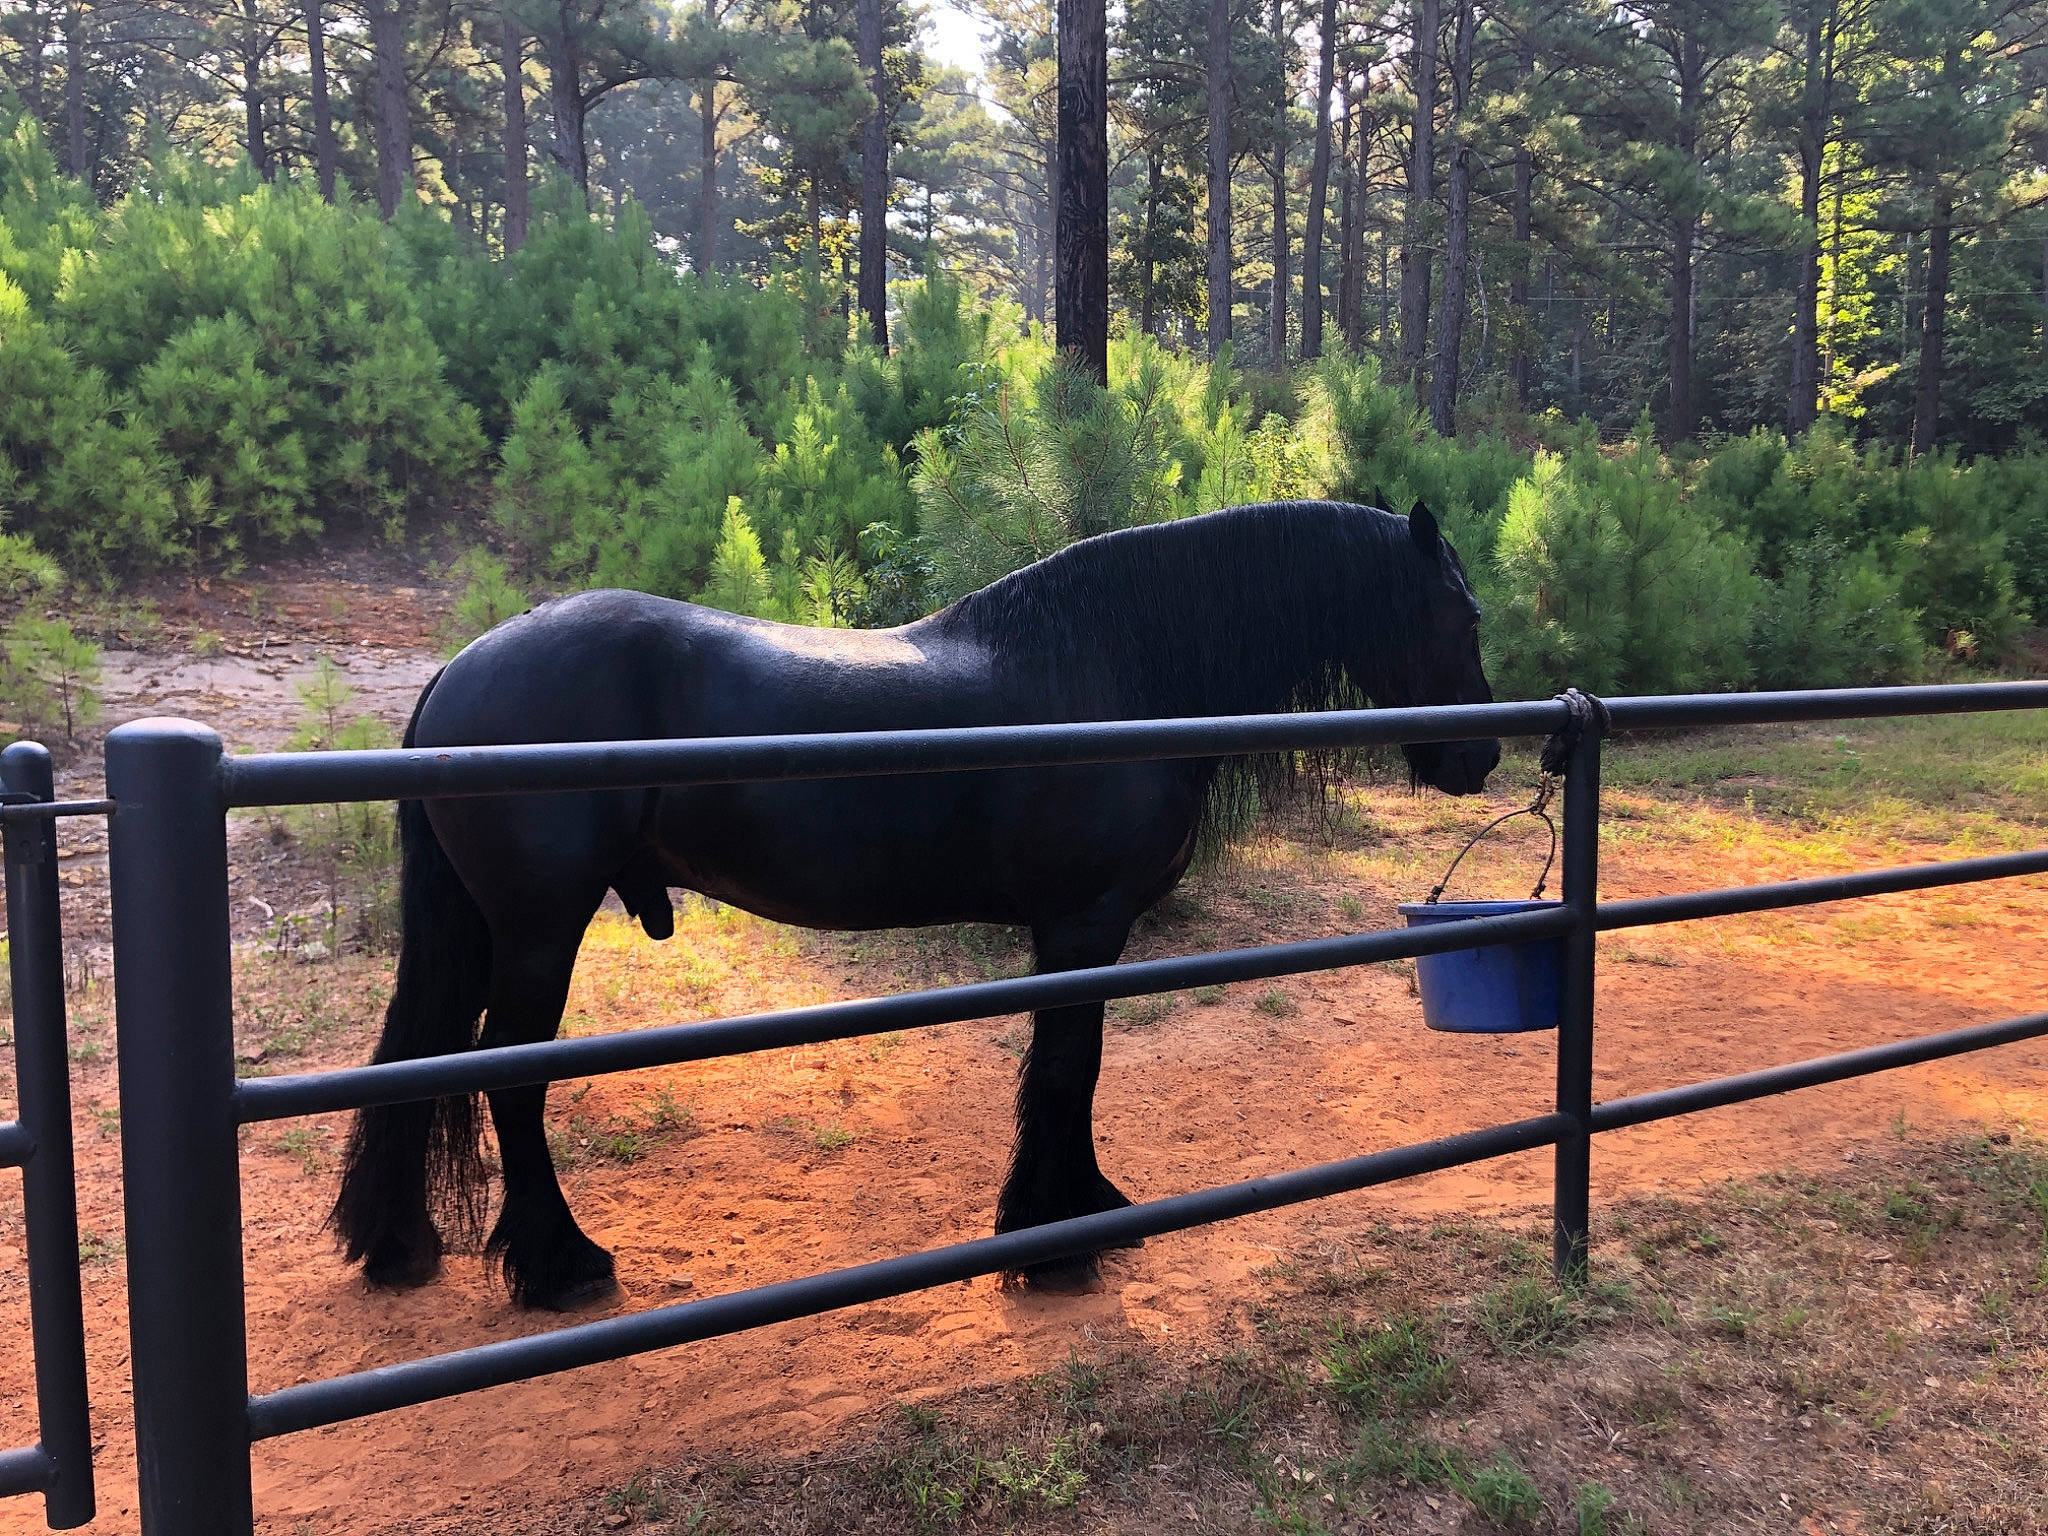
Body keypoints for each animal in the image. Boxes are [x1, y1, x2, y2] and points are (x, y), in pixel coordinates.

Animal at [332, 500, 1502, 1310]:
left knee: (421, 1061)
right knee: (509, 1079)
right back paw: (559, 1265)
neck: (1111, 676)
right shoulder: (1082, 925)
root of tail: (461, 671)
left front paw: (1083, 1211)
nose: (1479, 756)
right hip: (538, 932)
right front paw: (1056, 1243)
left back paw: (398, 1244)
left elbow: (1069, 1073)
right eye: (1459, 612)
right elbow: (1064, 1073)